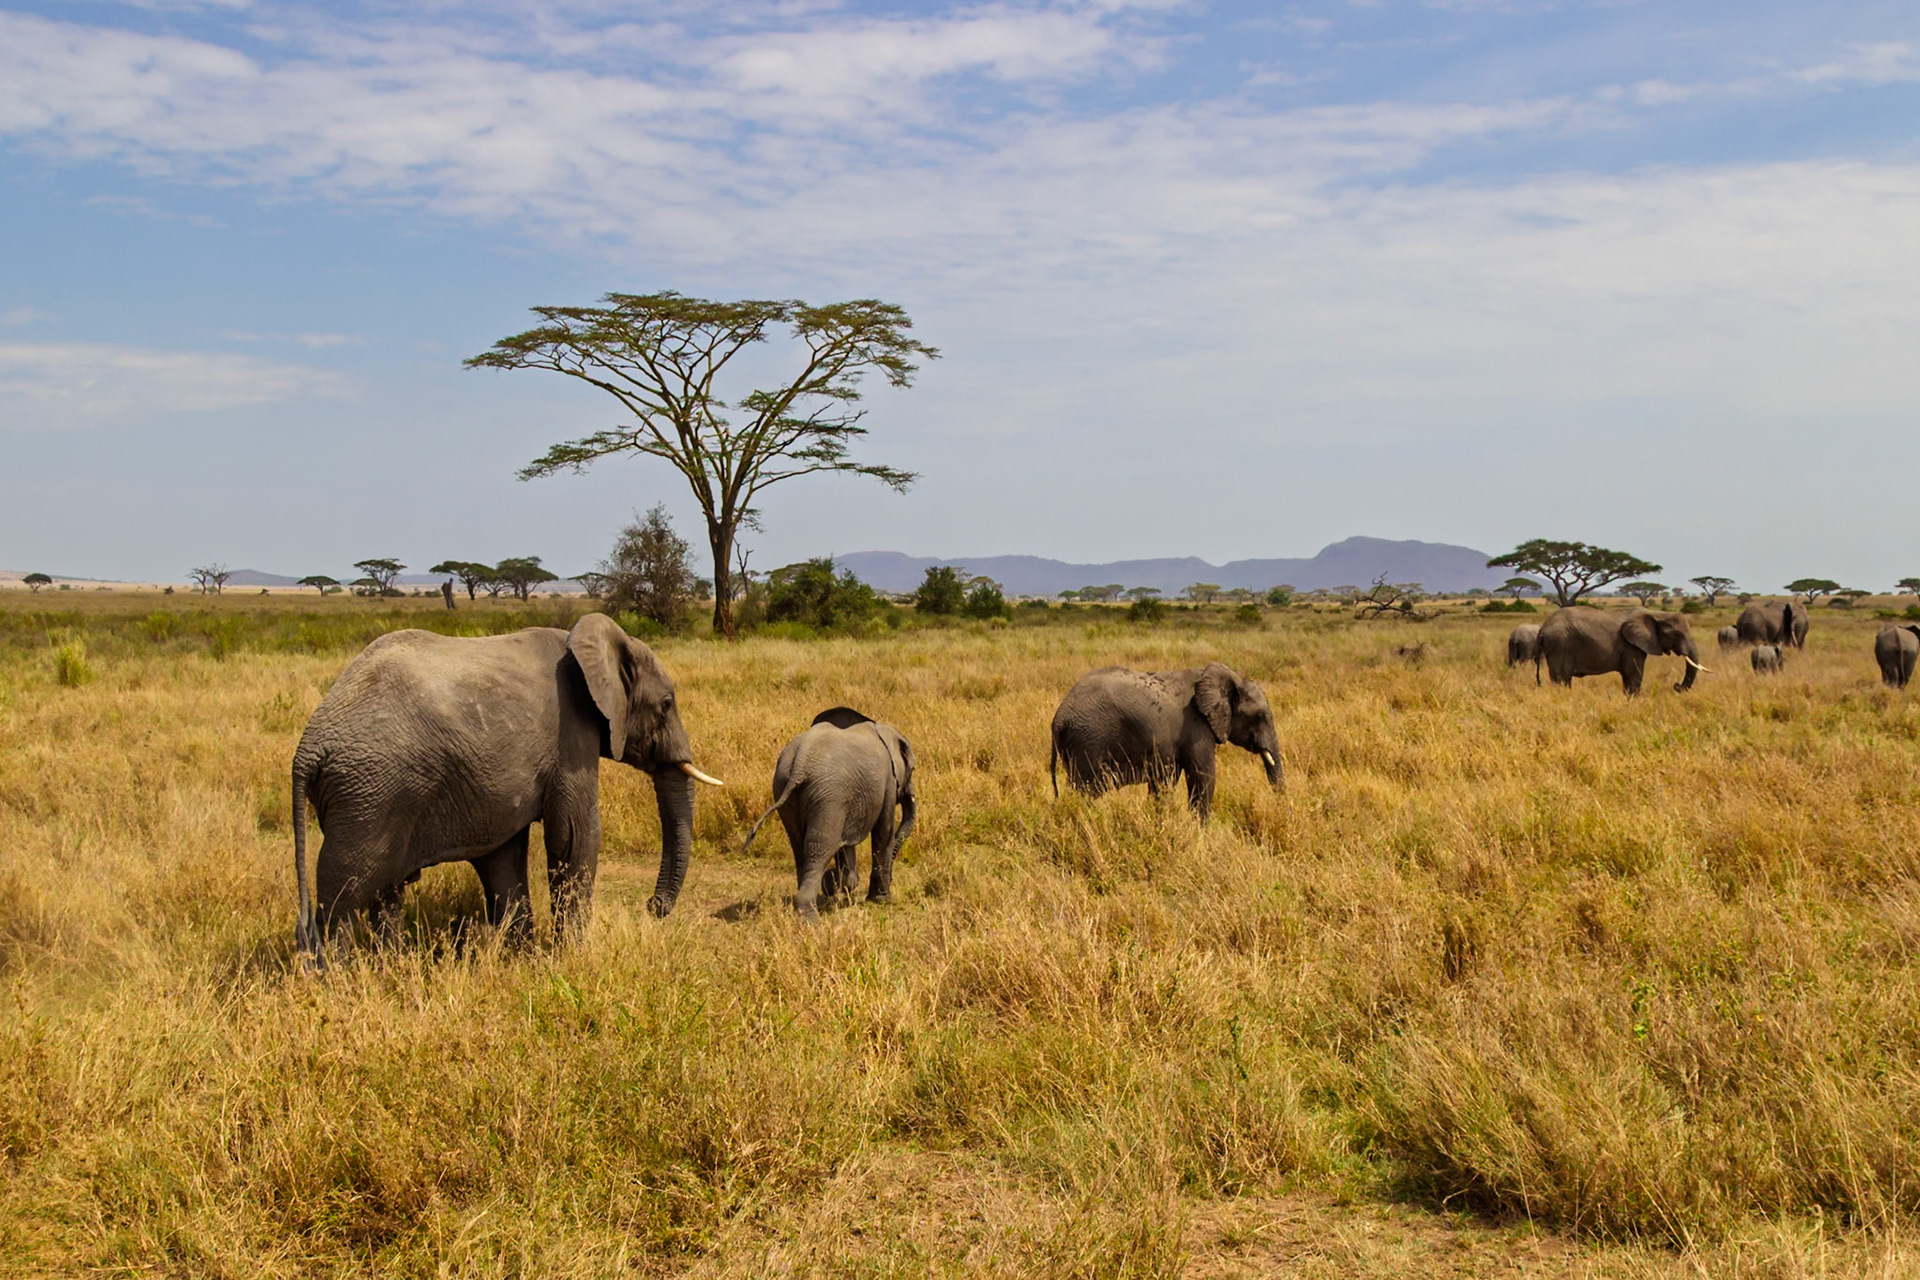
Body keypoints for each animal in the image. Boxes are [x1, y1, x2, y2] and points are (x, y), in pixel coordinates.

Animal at [291, 613, 723, 964]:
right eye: (666, 705)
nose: (653, 906)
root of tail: (308, 748)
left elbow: (504, 856)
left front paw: (522, 957)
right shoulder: (571, 735)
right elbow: (574, 835)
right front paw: (570, 958)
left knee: (386, 893)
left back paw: (391, 966)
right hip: (368, 795)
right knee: (344, 893)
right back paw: (340, 977)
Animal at [743, 707, 916, 920]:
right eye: (912, 769)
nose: (891, 879)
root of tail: (799, 764)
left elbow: (845, 843)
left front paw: (836, 884)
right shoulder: (888, 783)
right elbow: (883, 833)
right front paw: (881, 900)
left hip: (786, 787)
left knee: (800, 846)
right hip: (828, 794)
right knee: (820, 847)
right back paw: (809, 917)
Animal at [1050, 662, 1281, 820]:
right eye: (1260, 716)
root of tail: (1059, 717)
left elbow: (1164, 782)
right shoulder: (1197, 727)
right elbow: (1203, 776)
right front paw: (1199, 832)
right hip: (1088, 739)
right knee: (1087, 791)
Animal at [1537, 607, 1707, 695]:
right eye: (1677, 634)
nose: (1676, 685)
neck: (1657, 613)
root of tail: (1542, 629)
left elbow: (1628, 676)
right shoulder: (1631, 645)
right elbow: (1634, 675)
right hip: (1559, 644)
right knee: (1561, 678)